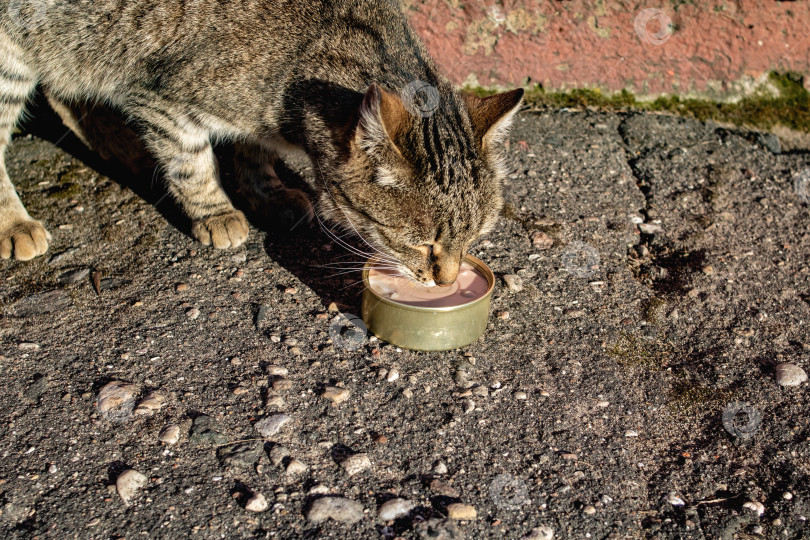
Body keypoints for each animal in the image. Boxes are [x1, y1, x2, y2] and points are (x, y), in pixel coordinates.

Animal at [0, 0, 520, 286]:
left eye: (474, 238)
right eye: (423, 244)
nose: (445, 281)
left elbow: (253, 149)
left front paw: (266, 192)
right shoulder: (160, 98)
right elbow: (191, 161)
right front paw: (217, 212)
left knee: (63, 88)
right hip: (12, 53)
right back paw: (14, 223)